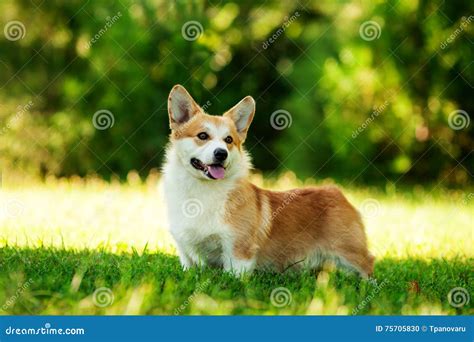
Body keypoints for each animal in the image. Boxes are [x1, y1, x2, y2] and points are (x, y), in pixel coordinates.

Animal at [163, 85, 374, 278]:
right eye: (202, 136)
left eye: (228, 140)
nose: (221, 154)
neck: (203, 190)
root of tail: (336, 192)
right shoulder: (186, 253)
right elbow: (190, 268)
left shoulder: (238, 249)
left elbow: (234, 276)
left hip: (348, 251)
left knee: (367, 264)